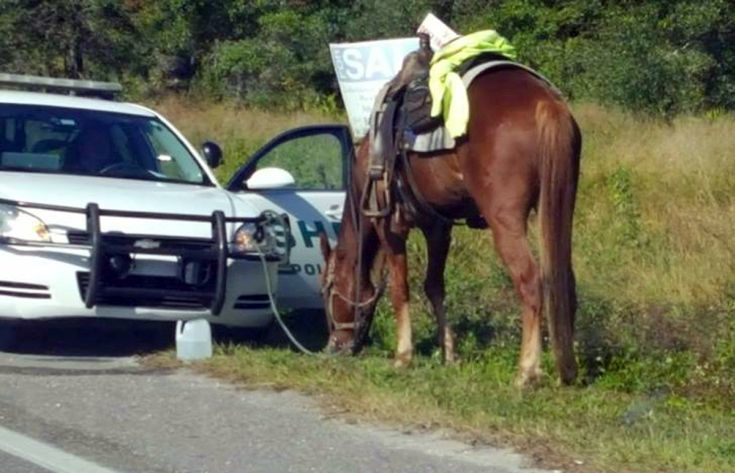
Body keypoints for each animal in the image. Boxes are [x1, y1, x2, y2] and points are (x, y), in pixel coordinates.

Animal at [319, 66, 581, 387]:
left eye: (327, 289)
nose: (333, 347)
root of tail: (545, 102)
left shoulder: (389, 226)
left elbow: (400, 289)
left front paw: (403, 355)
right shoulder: (438, 228)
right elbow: (434, 286)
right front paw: (449, 354)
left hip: (505, 222)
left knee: (531, 282)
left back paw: (526, 371)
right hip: (559, 207)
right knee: (564, 280)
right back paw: (566, 369)